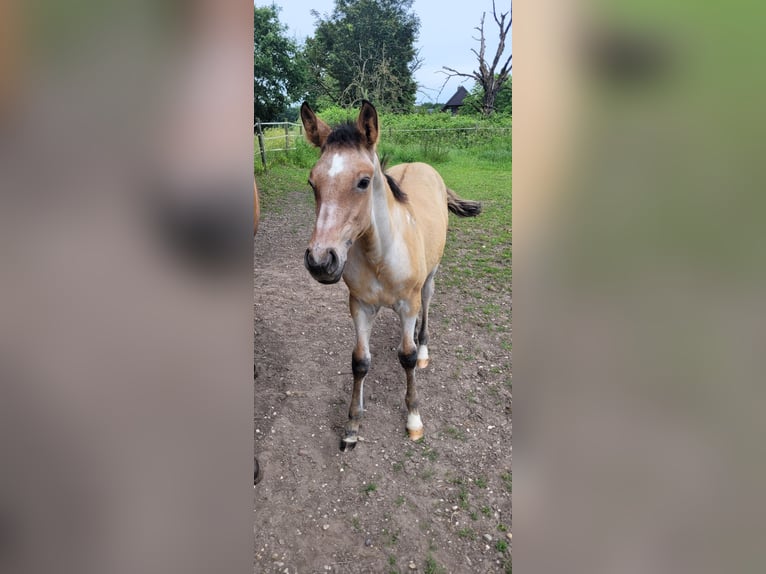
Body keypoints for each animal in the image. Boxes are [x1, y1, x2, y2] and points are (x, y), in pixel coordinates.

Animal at [299, 100, 481, 450]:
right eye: (312, 183)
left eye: (363, 182)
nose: (320, 260)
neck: (379, 254)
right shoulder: (359, 306)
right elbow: (359, 360)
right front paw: (352, 425)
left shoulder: (407, 305)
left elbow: (406, 357)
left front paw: (414, 419)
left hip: (430, 278)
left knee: (427, 304)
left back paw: (424, 349)